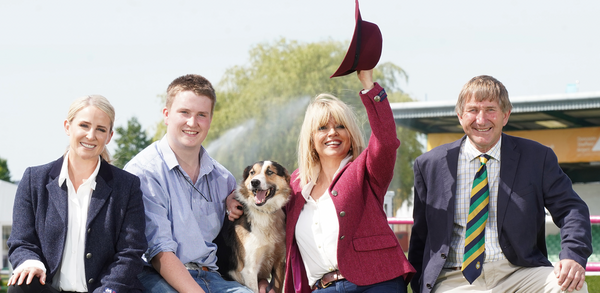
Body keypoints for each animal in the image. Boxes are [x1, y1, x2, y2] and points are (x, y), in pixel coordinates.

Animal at [217, 160, 292, 292]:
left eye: (270, 171)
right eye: (252, 172)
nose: (254, 182)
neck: (264, 212)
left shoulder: (279, 263)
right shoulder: (249, 271)